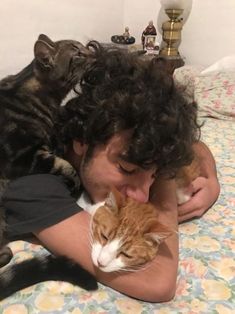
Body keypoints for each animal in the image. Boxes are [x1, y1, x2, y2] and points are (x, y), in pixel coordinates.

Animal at [0, 35, 95, 268]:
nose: (94, 54)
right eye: (78, 53)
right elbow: (65, 165)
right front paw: (74, 185)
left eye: (84, 48)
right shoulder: (25, 156)